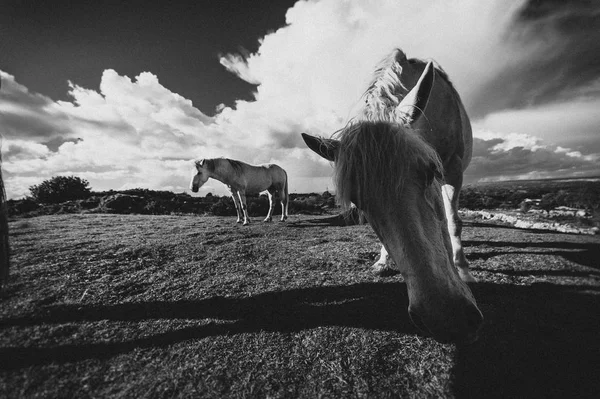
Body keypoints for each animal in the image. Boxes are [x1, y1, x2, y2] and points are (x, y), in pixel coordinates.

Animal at [300, 49, 482, 344]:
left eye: (430, 171)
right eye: (358, 200)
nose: (447, 318)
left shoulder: (452, 171)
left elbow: (453, 222)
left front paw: (464, 269)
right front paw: (383, 260)